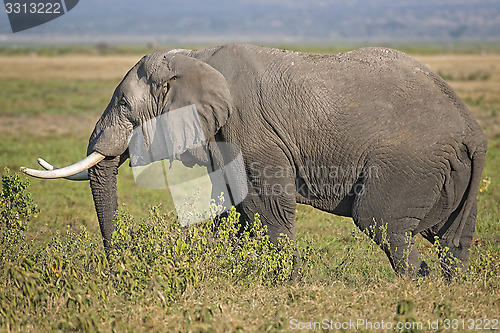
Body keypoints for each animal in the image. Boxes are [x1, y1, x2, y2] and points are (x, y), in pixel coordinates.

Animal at [21, 43, 486, 278]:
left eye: (122, 105)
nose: (116, 266)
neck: (195, 58)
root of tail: (474, 131)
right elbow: (239, 207)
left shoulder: (249, 129)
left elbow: (266, 206)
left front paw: (288, 286)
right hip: (449, 174)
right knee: (450, 238)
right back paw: (448, 289)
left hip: (410, 163)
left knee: (380, 221)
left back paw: (415, 286)